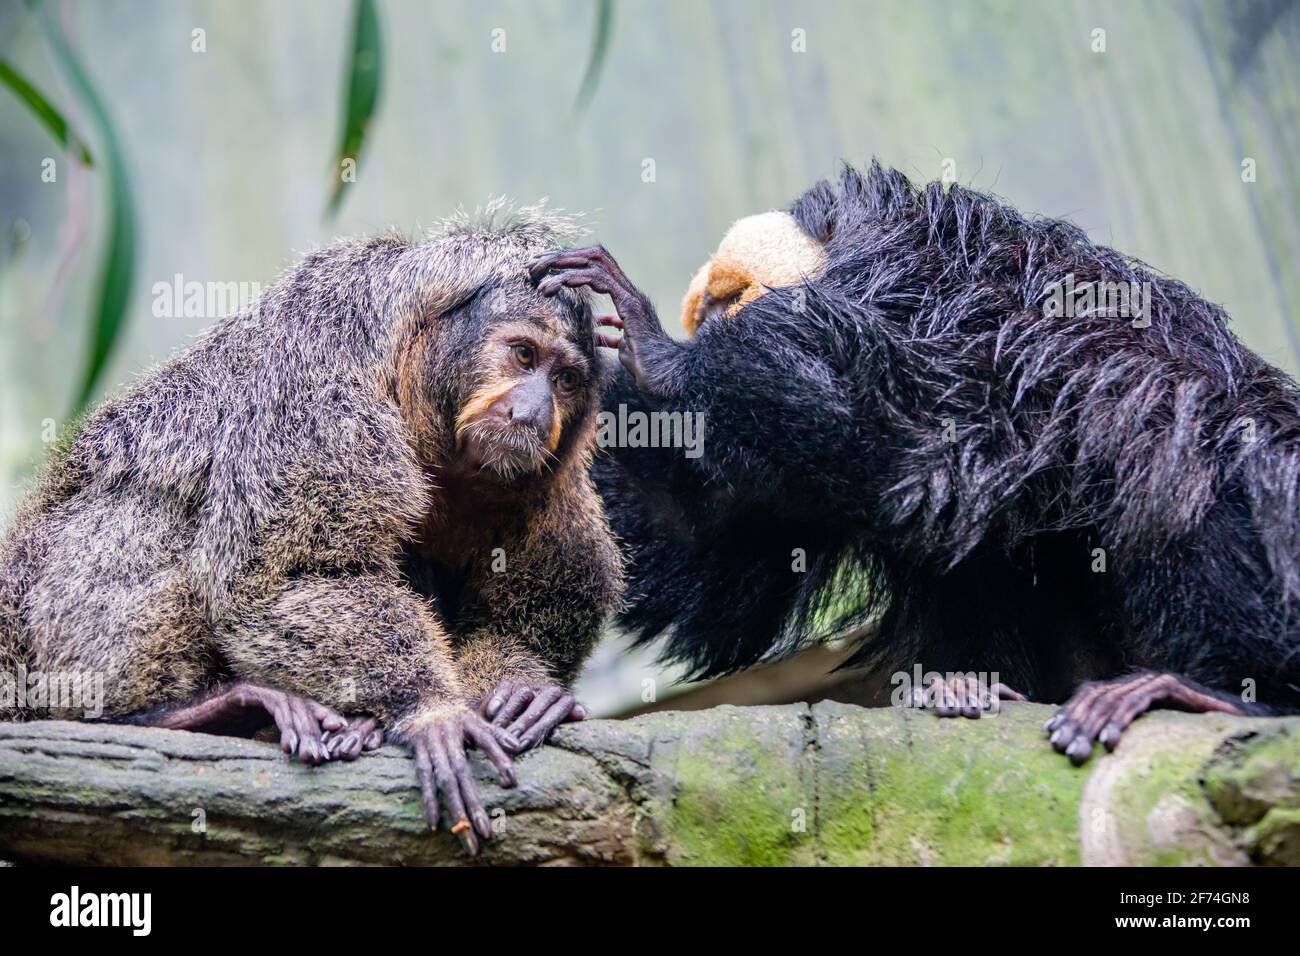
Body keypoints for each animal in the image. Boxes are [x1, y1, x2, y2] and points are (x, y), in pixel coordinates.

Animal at [527, 160, 1300, 764]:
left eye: (726, 307)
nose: (712, 328)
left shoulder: (926, 287)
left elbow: (915, 425)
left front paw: (657, 352)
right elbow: (708, 543)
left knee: (1189, 460)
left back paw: (1220, 693)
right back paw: (972, 685)